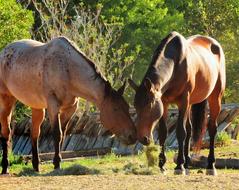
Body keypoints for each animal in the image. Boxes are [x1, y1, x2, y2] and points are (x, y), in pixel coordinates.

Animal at [0, 36, 136, 174]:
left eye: (126, 107)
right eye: (115, 109)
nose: (132, 136)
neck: (67, 68)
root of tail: (4, 52)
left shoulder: (70, 109)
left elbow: (63, 134)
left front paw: (58, 161)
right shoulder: (53, 106)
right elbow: (57, 133)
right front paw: (56, 164)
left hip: (37, 107)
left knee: (35, 133)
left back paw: (36, 166)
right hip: (7, 100)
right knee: (6, 131)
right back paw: (5, 167)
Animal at [130, 31, 225, 175]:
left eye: (149, 106)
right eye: (136, 106)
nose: (142, 138)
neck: (175, 64)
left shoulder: (183, 101)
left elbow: (181, 131)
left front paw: (179, 166)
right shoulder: (164, 103)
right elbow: (163, 133)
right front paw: (162, 164)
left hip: (215, 97)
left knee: (212, 128)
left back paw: (210, 165)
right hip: (191, 103)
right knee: (190, 129)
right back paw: (187, 163)